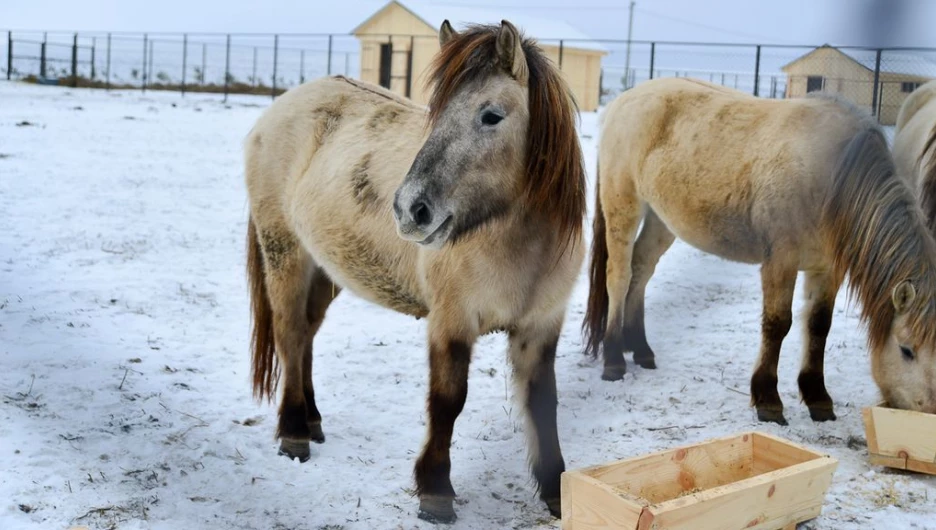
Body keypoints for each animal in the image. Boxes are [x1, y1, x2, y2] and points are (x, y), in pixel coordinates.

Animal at [241, 19, 584, 520]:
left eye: (491, 116)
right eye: (436, 112)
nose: (408, 209)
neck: (517, 243)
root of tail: (276, 111)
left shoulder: (540, 326)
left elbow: (543, 402)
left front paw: (556, 489)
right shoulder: (451, 320)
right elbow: (447, 401)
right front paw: (435, 490)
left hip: (326, 269)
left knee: (305, 335)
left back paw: (312, 420)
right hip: (285, 253)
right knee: (288, 333)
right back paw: (294, 432)